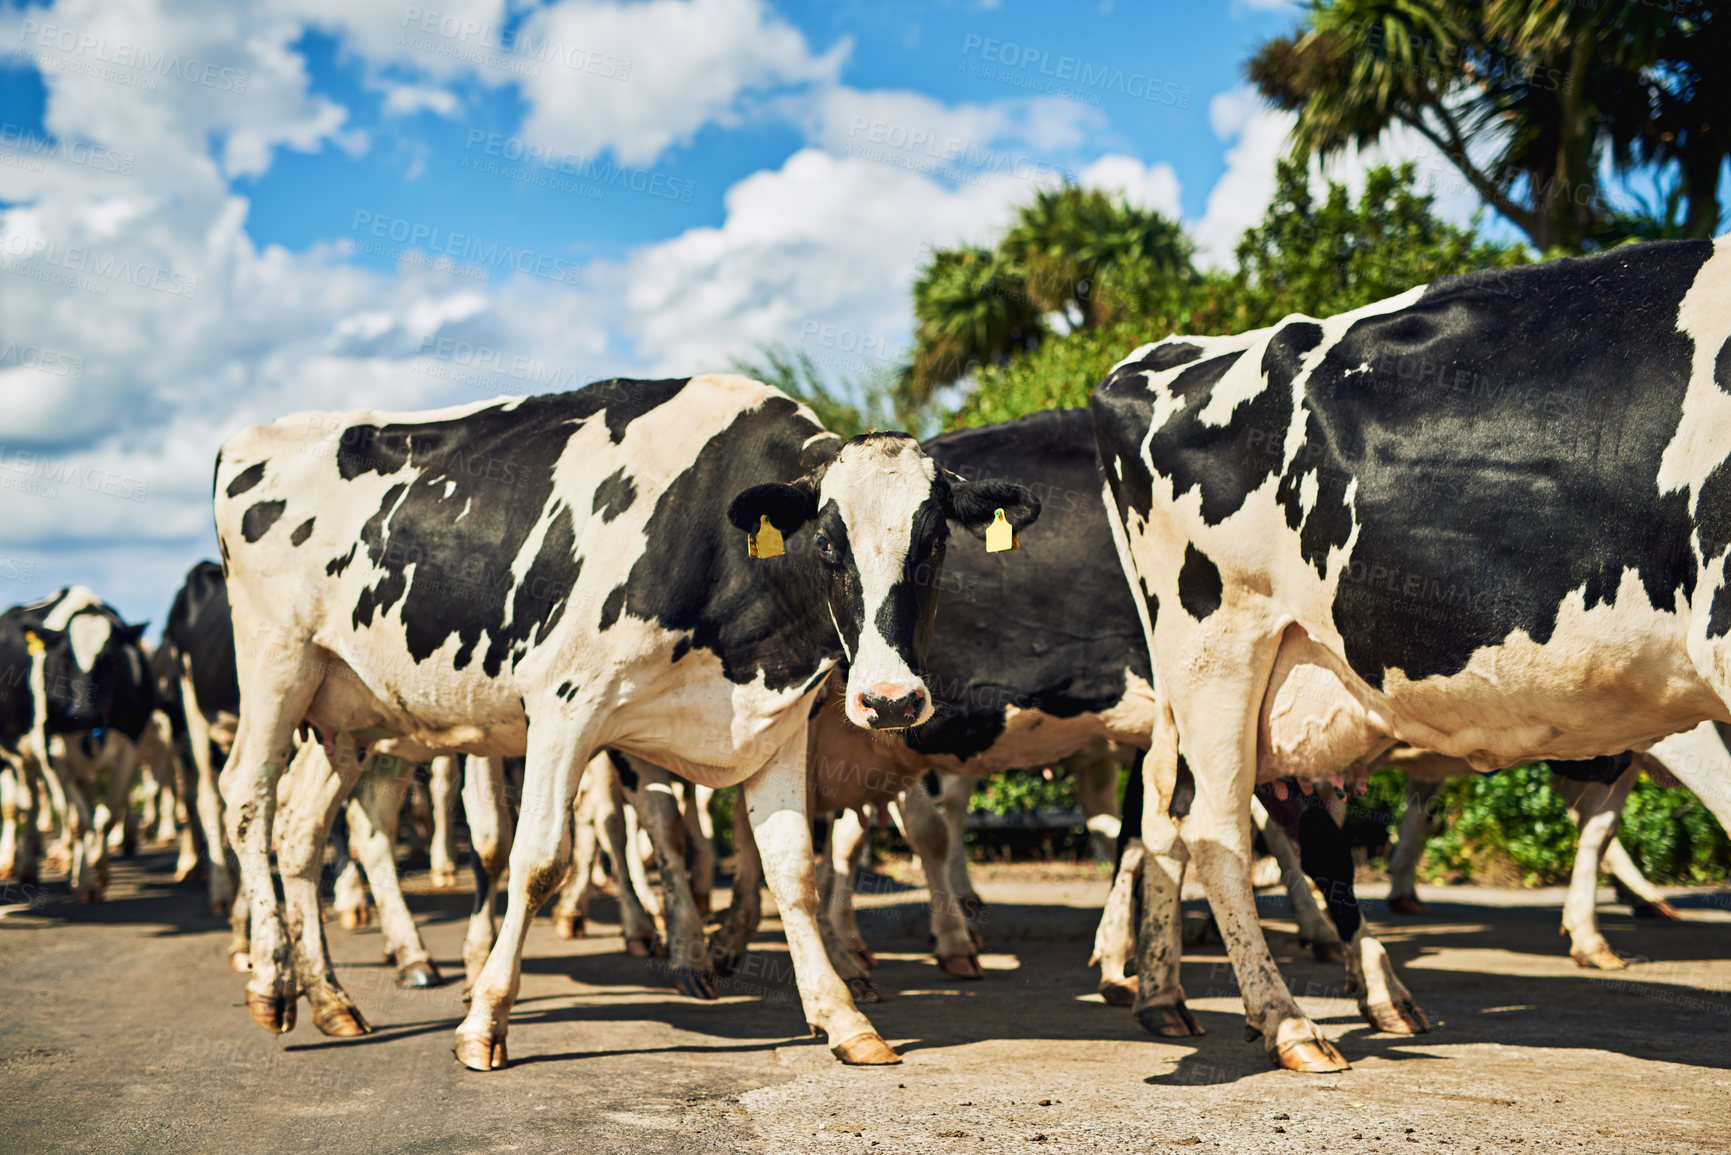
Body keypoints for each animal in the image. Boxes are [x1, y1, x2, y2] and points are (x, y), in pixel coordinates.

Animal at [0, 588, 150, 900]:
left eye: (112, 660)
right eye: (64, 659)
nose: (83, 713)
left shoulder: (129, 748)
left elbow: (106, 816)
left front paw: (98, 867)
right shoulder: (51, 756)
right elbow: (78, 820)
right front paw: (85, 881)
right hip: (18, 756)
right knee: (25, 807)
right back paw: (24, 867)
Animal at [207, 375, 1031, 1073]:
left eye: (933, 542)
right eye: (828, 545)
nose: (890, 700)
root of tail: (255, 436)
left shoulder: (776, 719)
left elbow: (791, 868)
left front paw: (843, 1018)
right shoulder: (566, 704)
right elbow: (539, 860)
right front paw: (483, 1022)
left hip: (347, 709)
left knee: (300, 830)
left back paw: (330, 999)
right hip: (277, 661)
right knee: (246, 797)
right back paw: (273, 984)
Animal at [1087, 237, 1731, 1073]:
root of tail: (1159, 357)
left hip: (1205, 679)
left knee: (1168, 811)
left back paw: (1168, 995)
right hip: (1216, 643)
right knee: (1212, 823)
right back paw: (1285, 1019)